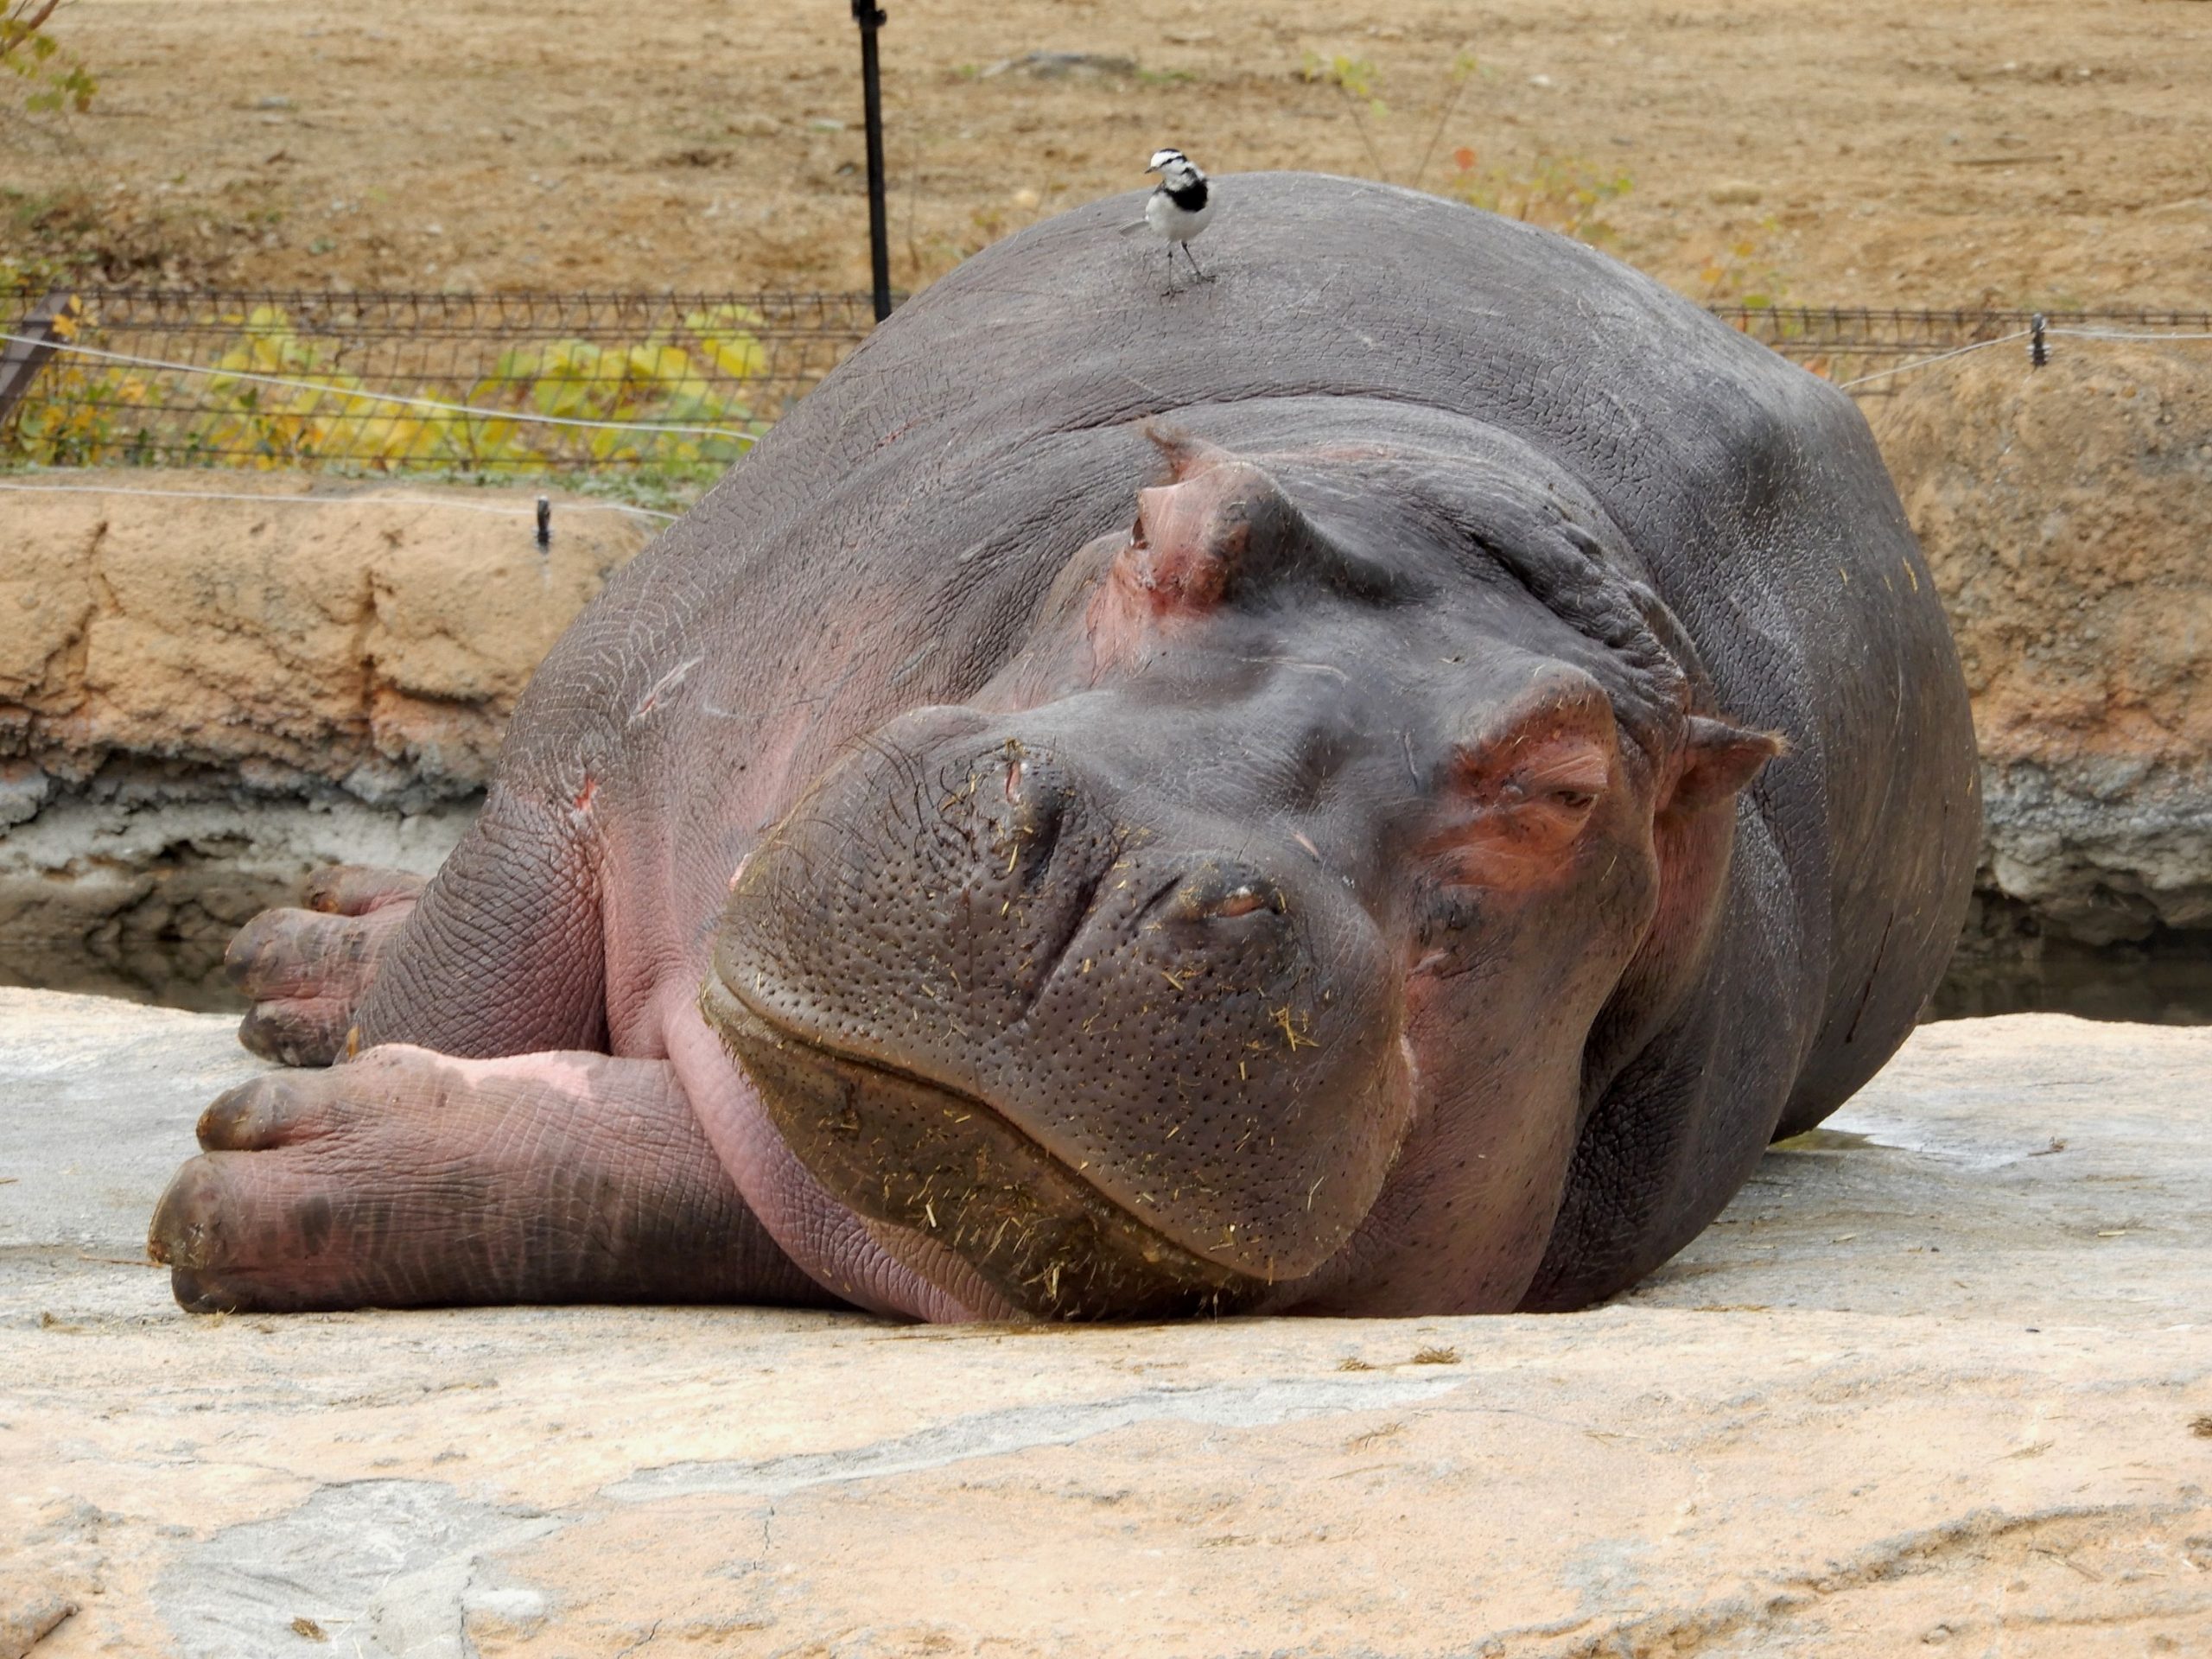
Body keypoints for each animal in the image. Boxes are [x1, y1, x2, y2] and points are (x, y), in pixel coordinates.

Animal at [160, 175, 1991, 1327]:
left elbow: (739, 1170)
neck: (1490, 528)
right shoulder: (582, 771)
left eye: (1568, 792)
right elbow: (466, 989)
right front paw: (306, 1079)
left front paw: (272, 1178)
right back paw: (296, 952)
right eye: (1169, 528)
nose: (1130, 867)